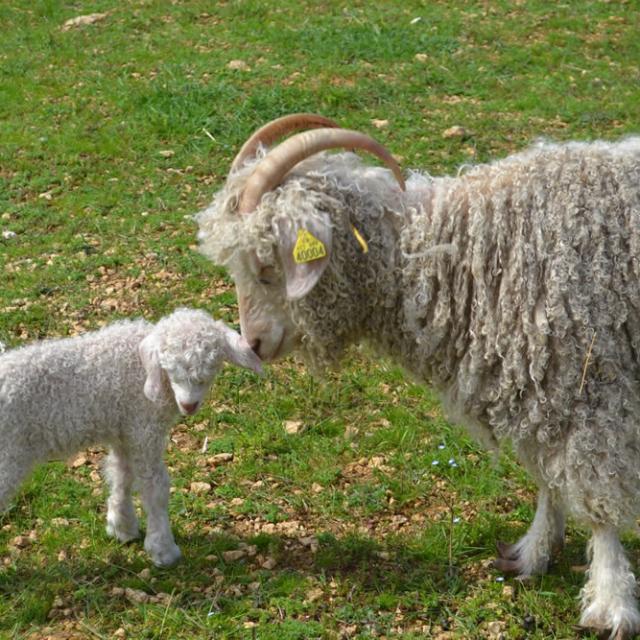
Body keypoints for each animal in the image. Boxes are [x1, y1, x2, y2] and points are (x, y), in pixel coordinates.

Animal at [198, 115, 640, 640]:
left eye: (268, 267)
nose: (253, 344)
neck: (465, 257)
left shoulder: (590, 384)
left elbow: (598, 500)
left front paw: (610, 602)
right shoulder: (540, 388)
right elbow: (548, 479)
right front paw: (532, 552)